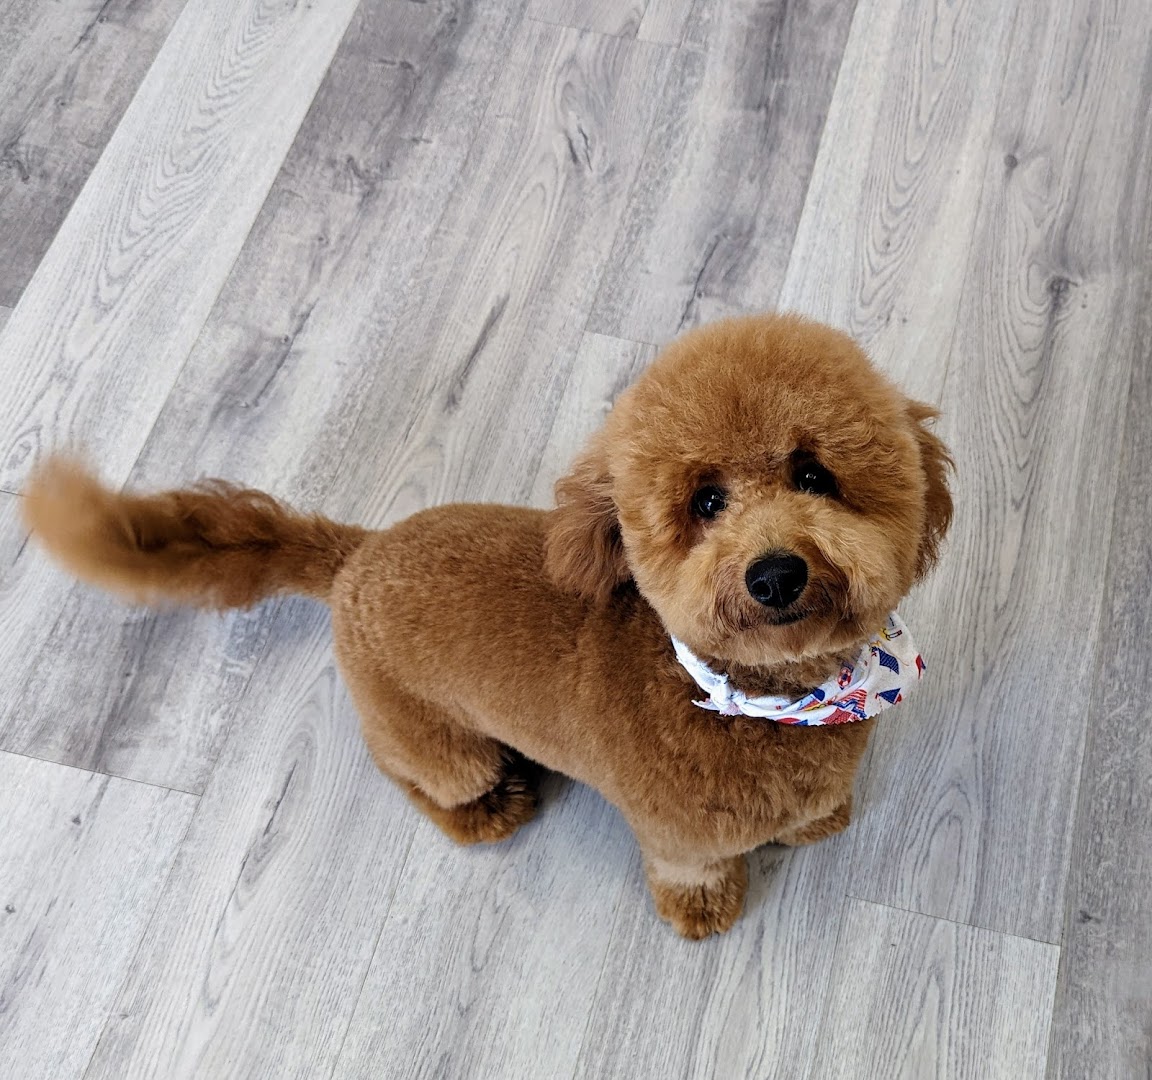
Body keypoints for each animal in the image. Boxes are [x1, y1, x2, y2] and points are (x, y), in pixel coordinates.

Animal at [23, 313, 952, 939]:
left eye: (812, 473)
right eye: (707, 502)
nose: (775, 572)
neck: (755, 697)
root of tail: (355, 556)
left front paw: (816, 821)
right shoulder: (679, 838)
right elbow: (692, 873)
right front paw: (705, 914)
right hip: (434, 737)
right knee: (416, 776)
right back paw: (487, 812)